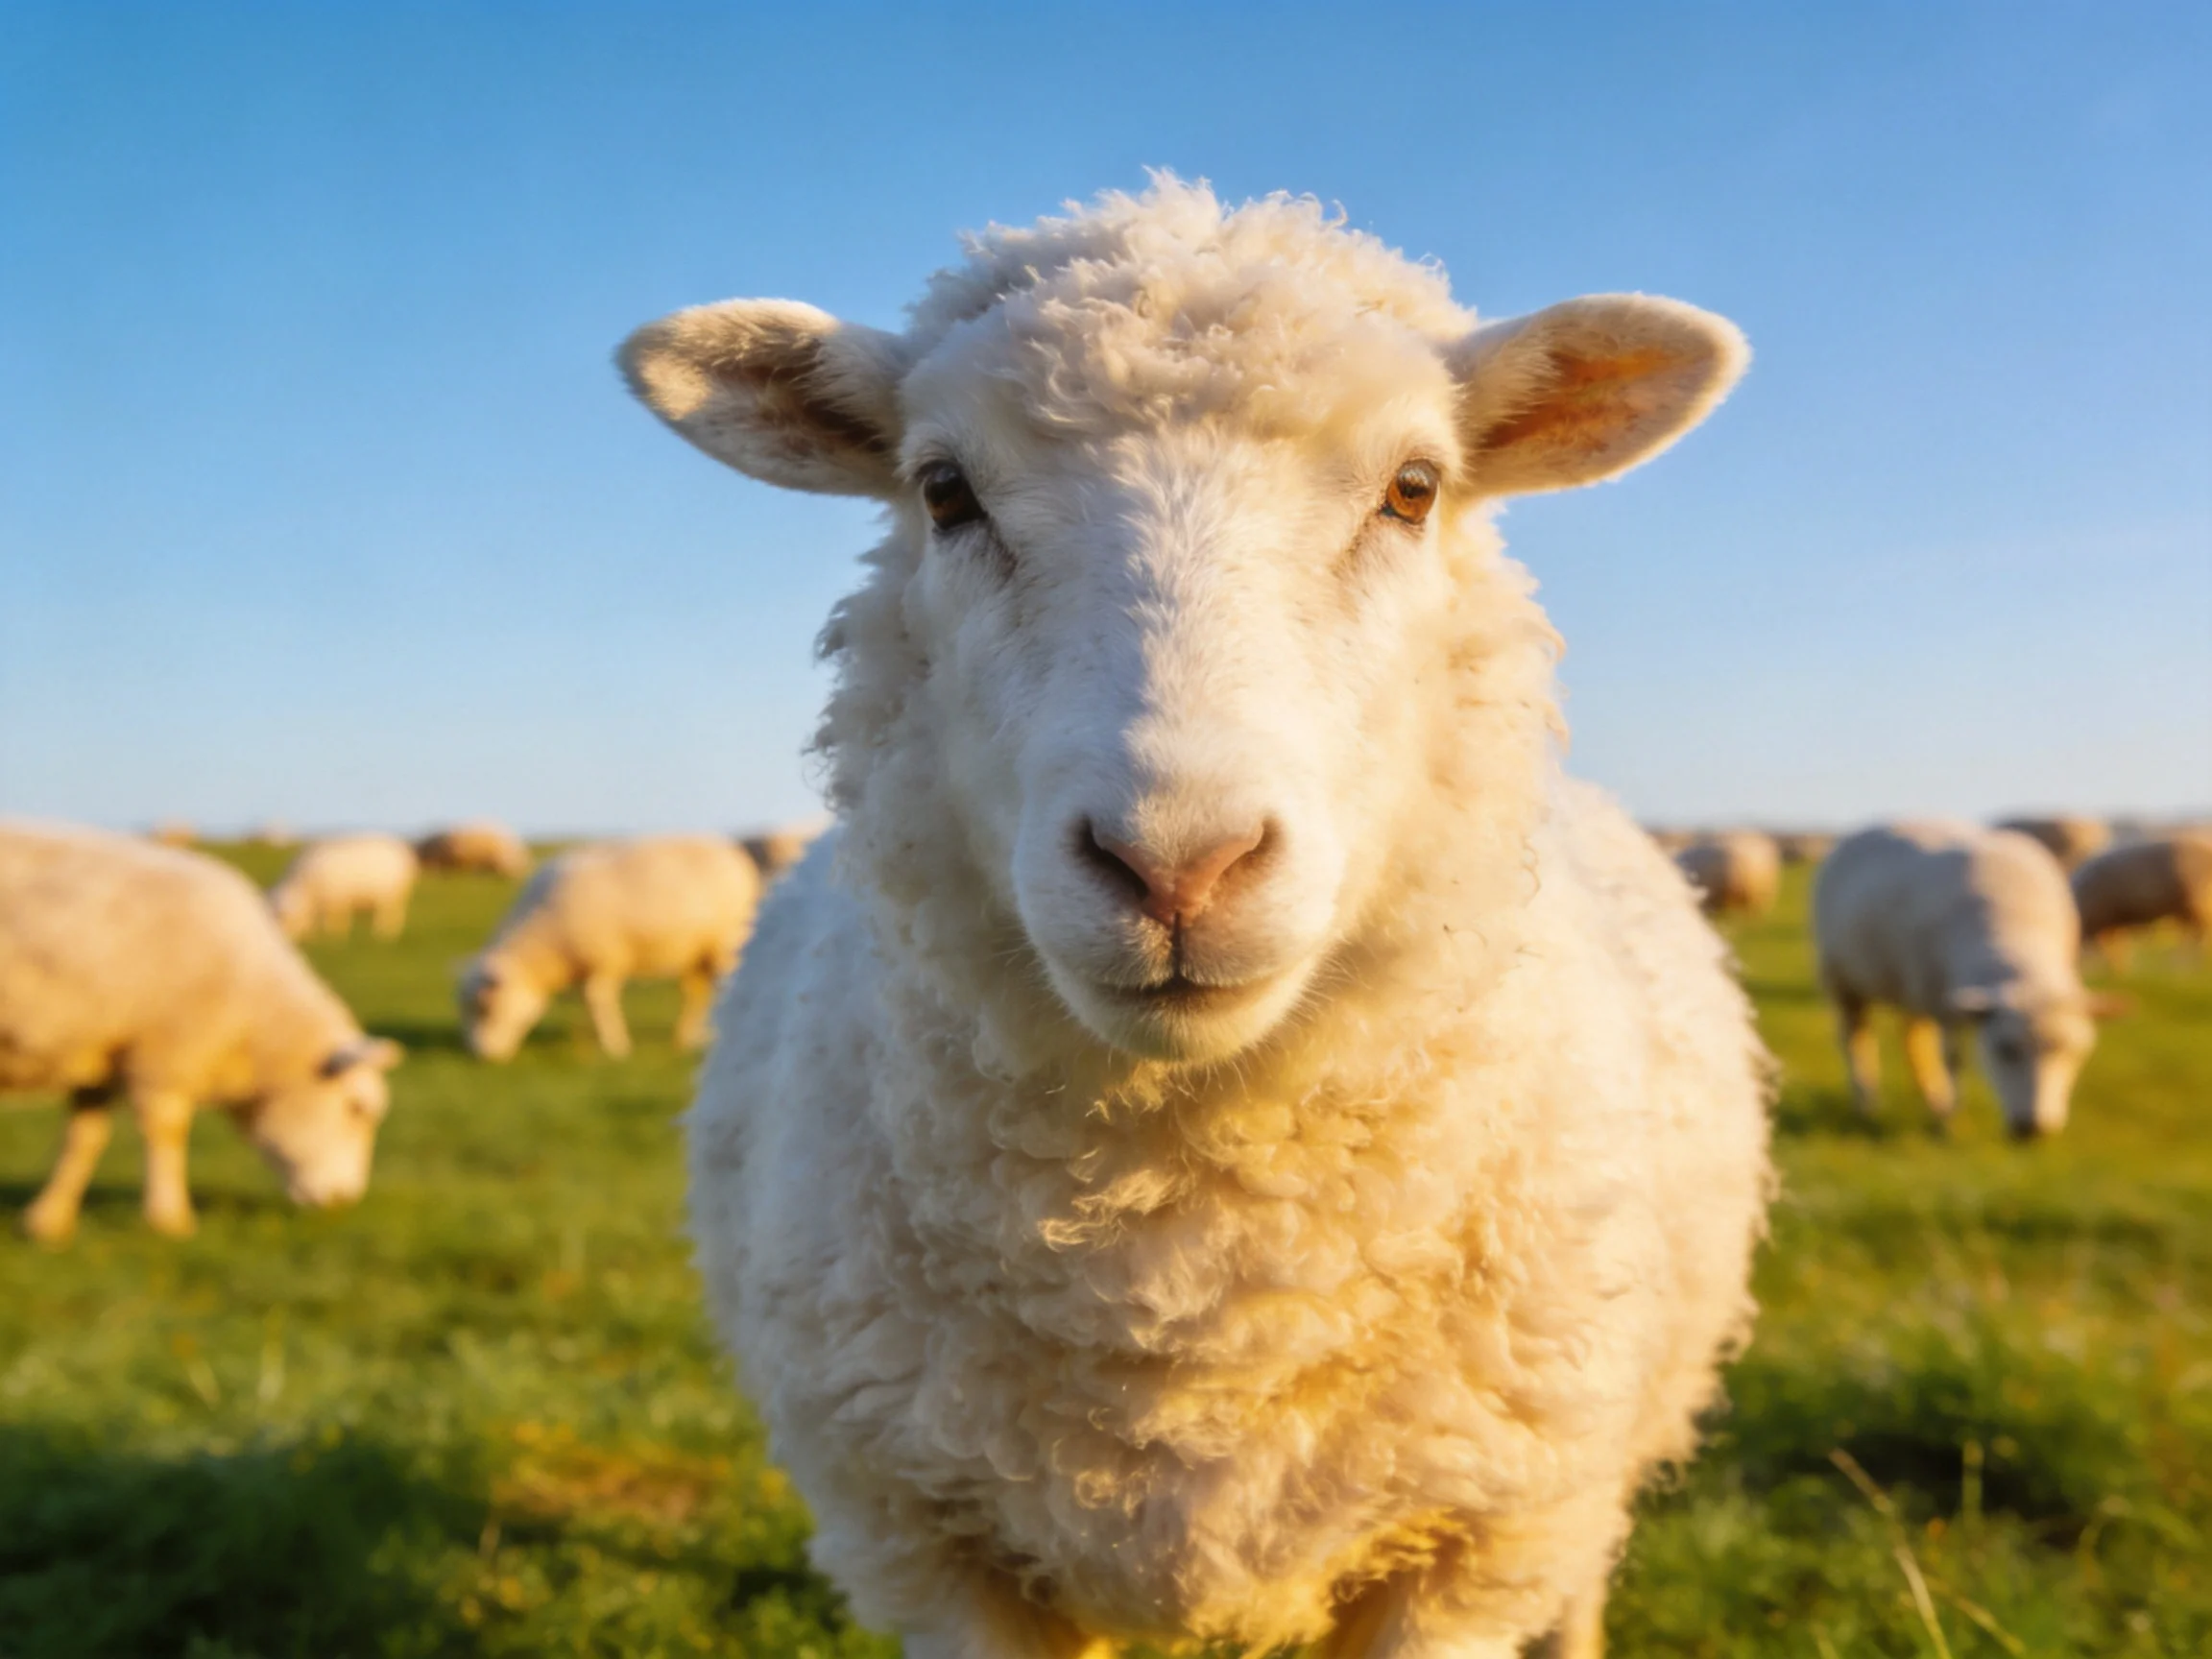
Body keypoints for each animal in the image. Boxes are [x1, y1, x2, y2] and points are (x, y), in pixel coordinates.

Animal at [1, 820, 401, 1242]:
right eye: (357, 1109)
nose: (343, 1200)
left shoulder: (102, 1054)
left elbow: (84, 1139)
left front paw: (47, 1222)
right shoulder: (163, 1052)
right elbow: (167, 1132)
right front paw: (170, 1220)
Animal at [269, 833, 420, 941]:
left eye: (281, 918)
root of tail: (399, 848)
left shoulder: (335, 898)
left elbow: (333, 919)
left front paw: (332, 935)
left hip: (391, 895)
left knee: (390, 915)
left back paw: (383, 933)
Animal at [457, 835, 760, 1062]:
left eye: (486, 1007)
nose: (478, 1055)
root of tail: (732, 856)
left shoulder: (603, 961)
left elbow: (598, 1004)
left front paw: (614, 1046)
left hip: (726, 942)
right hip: (695, 952)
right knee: (697, 994)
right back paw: (688, 1037)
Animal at [624, 179, 1771, 1659]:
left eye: (1415, 489)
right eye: (945, 491)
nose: (1177, 866)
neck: (1187, 1263)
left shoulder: (1461, 1539)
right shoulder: (937, 1542)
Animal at [1814, 822, 2115, 1138]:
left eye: (2073, 1052)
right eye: (2004, 1049)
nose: (2033, 1129)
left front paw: (1941, 1109)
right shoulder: (1941, 1003)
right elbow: (1953, 1060)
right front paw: (1951, 1122)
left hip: (1907, 982)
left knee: (1911, 1036)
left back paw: (1928, 1093)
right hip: (1842, 980)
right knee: (1856, 1039)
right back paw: (1867, 1103)